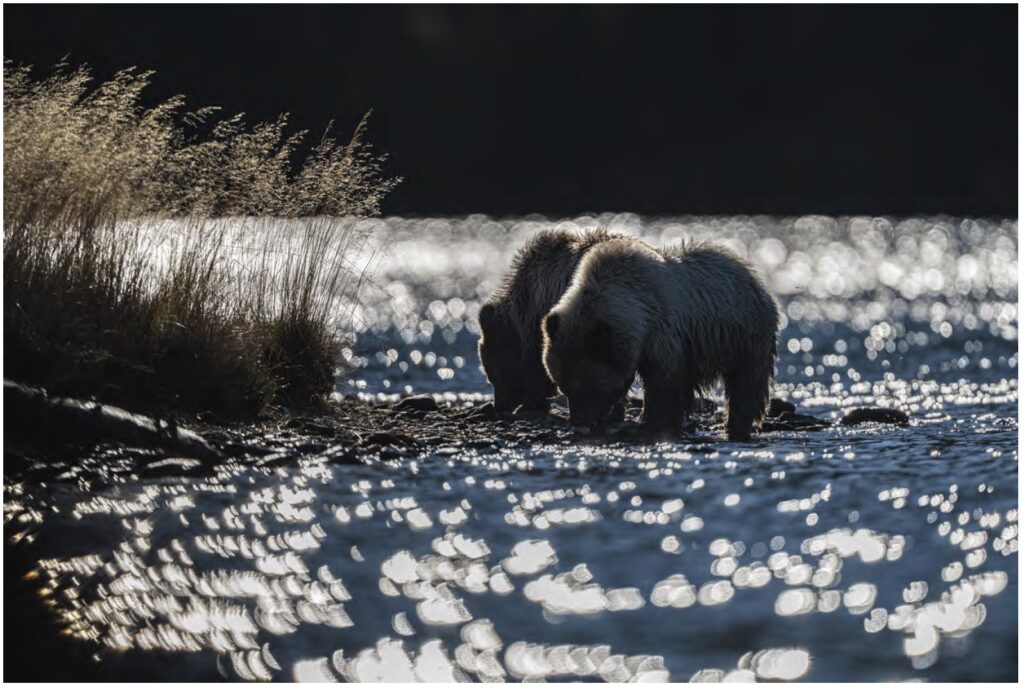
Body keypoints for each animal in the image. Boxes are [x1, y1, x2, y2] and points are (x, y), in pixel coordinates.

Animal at [544, 236, 774, 440]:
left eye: (586, 388)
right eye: (563, 387)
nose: (578, 422)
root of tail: (749, 272)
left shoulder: (663, 333)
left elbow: (663, 383)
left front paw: (650, 423)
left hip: (744, 334)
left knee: (745, 384)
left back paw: (736, 425)